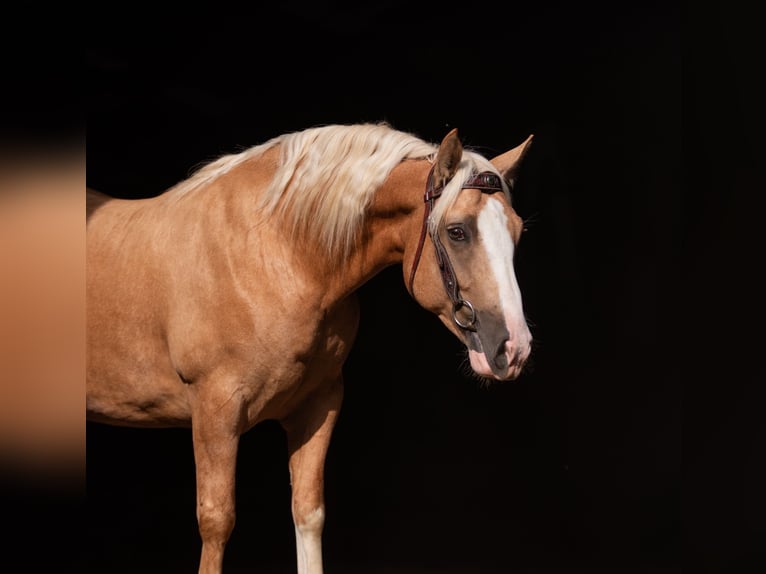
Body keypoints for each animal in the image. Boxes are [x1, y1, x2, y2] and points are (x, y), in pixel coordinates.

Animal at [87, 122, 536, 574]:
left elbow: (308, 513)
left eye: (517, 232)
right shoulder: (215, 411)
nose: (513, 348)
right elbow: (216, 521)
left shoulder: (317, 405)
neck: (278, 252)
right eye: (457, 231)